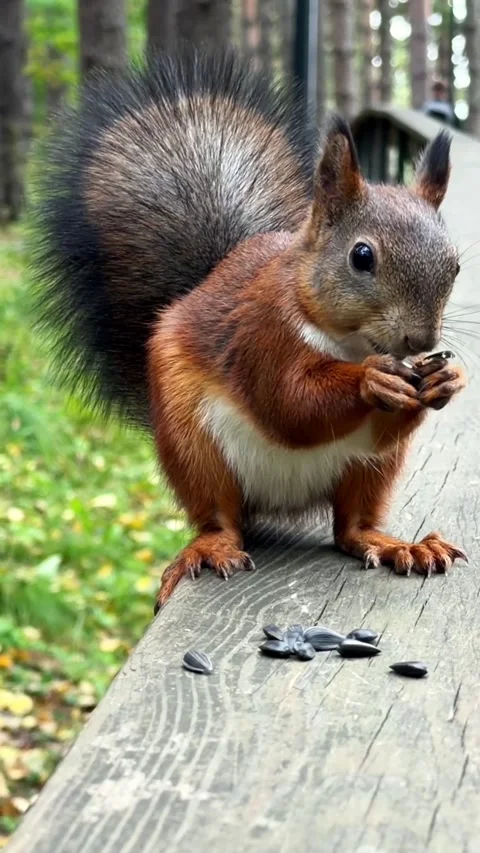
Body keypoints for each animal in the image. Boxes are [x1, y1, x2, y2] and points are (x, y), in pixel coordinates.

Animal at [33, 48, 467, 612]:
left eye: (454, 266)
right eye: (361, 256)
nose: (421, 342)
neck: (349, 342)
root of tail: (282, 500)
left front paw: (445, 381)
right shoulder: (261, 332)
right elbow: (288, 403)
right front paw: (372, 381)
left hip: (371, 470)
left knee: (351, 528)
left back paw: (398, 545)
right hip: (193, 447)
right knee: (220, 516)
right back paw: (210, 547)